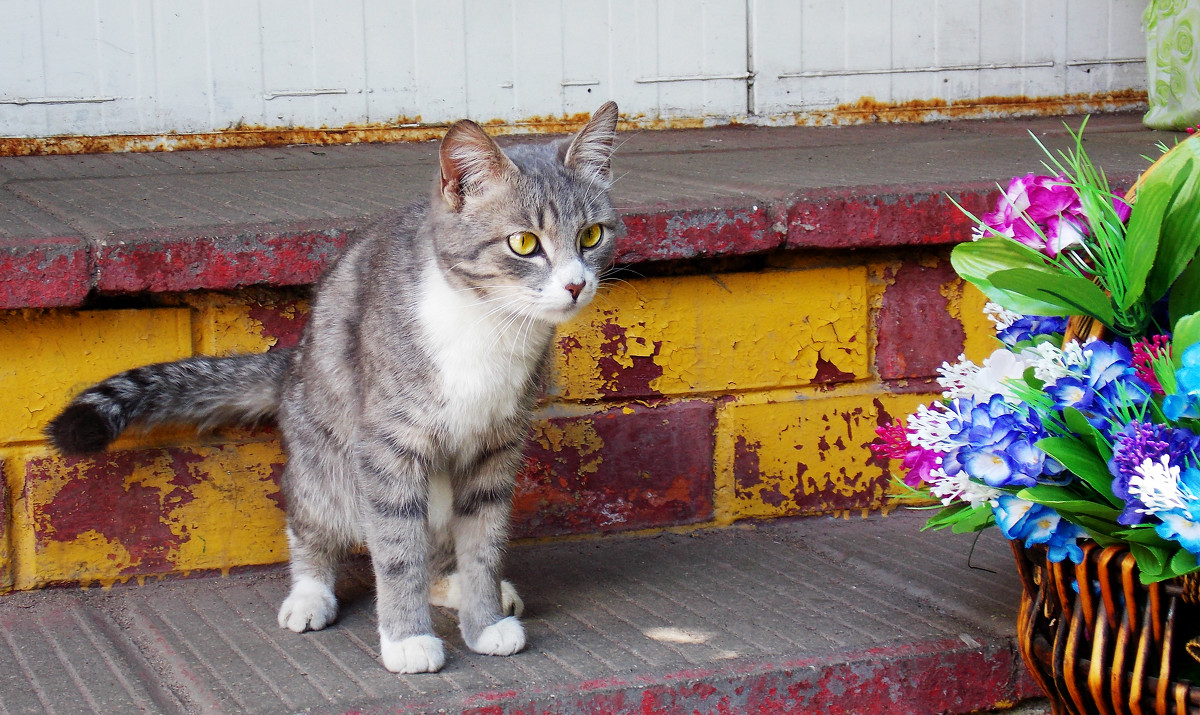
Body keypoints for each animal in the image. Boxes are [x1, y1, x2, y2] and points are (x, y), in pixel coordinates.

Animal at [44, 101, 619, 676]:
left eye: (592, 235)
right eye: (524, 243)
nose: (575, 285)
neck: (489, 325)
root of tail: (292, 362)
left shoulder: (497, 448)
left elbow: (483, 543)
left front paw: (484, 622)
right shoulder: (388, 447)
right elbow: (395, 549)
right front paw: (407, 639)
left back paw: (465, 588)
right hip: (327, 468)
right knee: (312, 523)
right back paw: (310, 594)